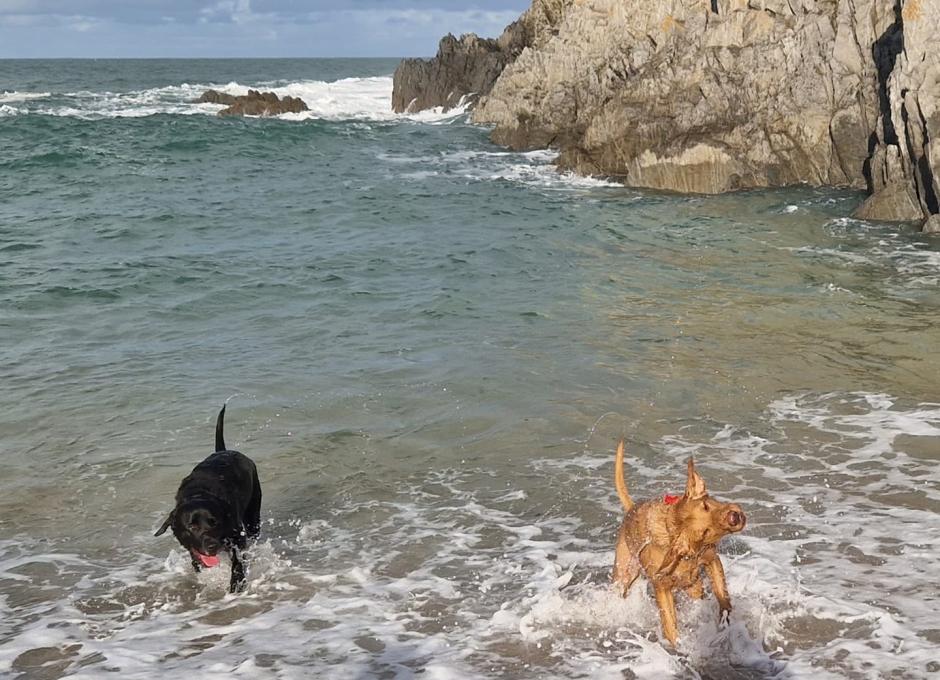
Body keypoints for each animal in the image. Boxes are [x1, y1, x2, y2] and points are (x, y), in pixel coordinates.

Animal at [154, 406, 262, 592]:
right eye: (192, 526)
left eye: (214, 522)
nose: (212, 545)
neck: (198, 493)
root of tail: (223, 451)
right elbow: (196, 560)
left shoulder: (237, 537)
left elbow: (237, 561)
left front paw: (237, 583)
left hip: (253, 515)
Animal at [608, 440, 748, 644]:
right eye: (704, 532)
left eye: (706, 505)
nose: (734, 517)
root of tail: (630, 509)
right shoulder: (661, 586)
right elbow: (669, 624)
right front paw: (676, 646)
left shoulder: (712, 559)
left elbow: (723, 595)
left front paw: (725, 618)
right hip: (624, 574)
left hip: (692, 585)